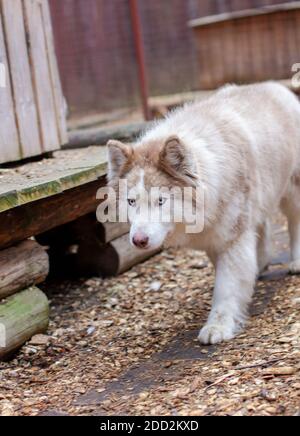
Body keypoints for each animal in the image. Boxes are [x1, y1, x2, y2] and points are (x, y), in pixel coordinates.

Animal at [106, 82, 300, 344]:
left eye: (160, 201)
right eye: (131, 201)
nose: (138, 240)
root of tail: (277, 86)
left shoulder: (232, 239)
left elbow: (226, 286)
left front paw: (218, 325)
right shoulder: (214, 239)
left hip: (293, 192)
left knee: (294, 222)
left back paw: (296, 261)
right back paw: (260, 264)